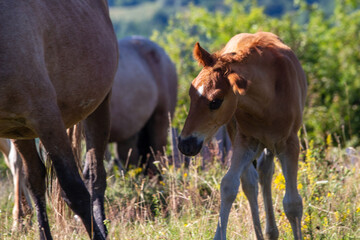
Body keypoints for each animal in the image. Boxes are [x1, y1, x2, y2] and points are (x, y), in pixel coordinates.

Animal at [0, 0, 117, 239]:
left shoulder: (48, 119)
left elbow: (74, 191)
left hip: (99, 106)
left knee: (94, 176)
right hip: (20, 132)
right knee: (35, 179)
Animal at [177, 31, 306, 239]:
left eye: (216, 101)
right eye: (191, 93)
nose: (185, 144)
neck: (268, 100)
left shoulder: (290, 143)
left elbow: (292, 203)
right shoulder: (246, 141)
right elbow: (229, 185)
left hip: (271, 144)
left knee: (264, 172)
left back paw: (271, 232)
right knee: (251, 181)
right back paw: (265, 233)